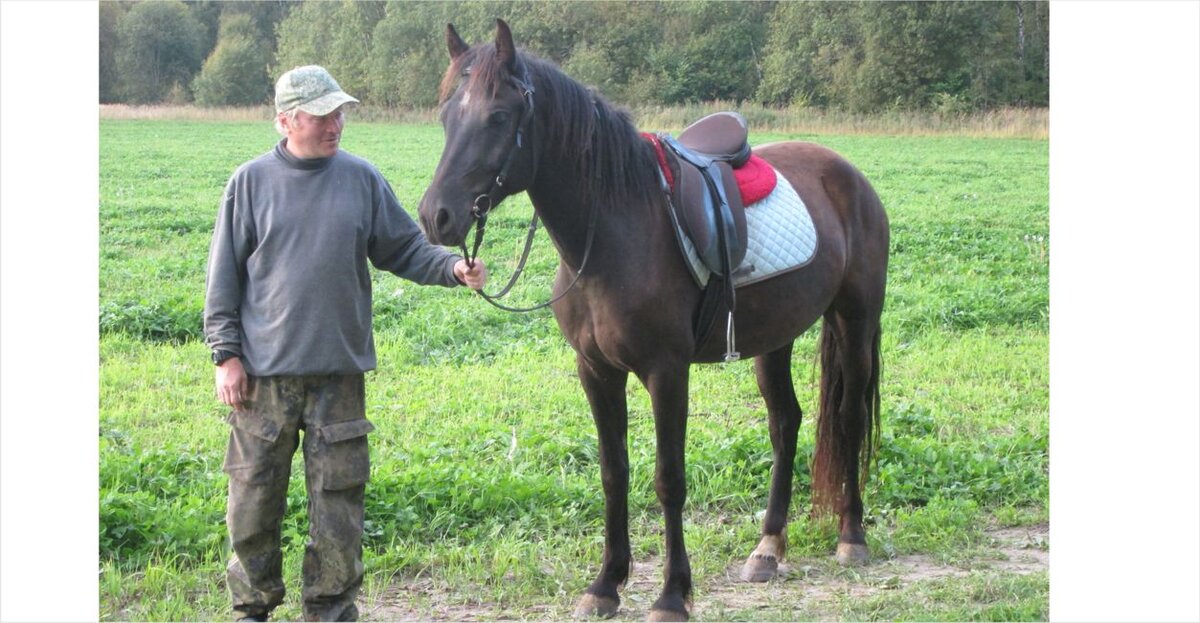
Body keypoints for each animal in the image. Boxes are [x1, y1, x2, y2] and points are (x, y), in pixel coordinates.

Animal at [417, 19, 888, 623]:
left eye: (498, 116)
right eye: (446, 116)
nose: (436, 216)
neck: (613, 231)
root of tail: (847, 173)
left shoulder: (667, 371)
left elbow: (669, 478)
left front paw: (672, 594)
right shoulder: (596, 370)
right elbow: (613, 472)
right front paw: (605, 584)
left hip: (855, 320)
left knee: (849, 418)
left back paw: (852, 536)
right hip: (774, 338)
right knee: (786, 423)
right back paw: (767, 548)